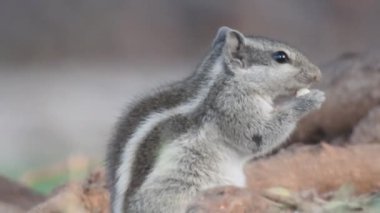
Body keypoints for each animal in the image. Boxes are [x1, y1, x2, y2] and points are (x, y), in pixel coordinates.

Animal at [105, 26, 326, 213]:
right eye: (281, 57)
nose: (318, 74)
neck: (225, 79)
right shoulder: (232, 107)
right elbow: (259, 136)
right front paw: (309, 100)